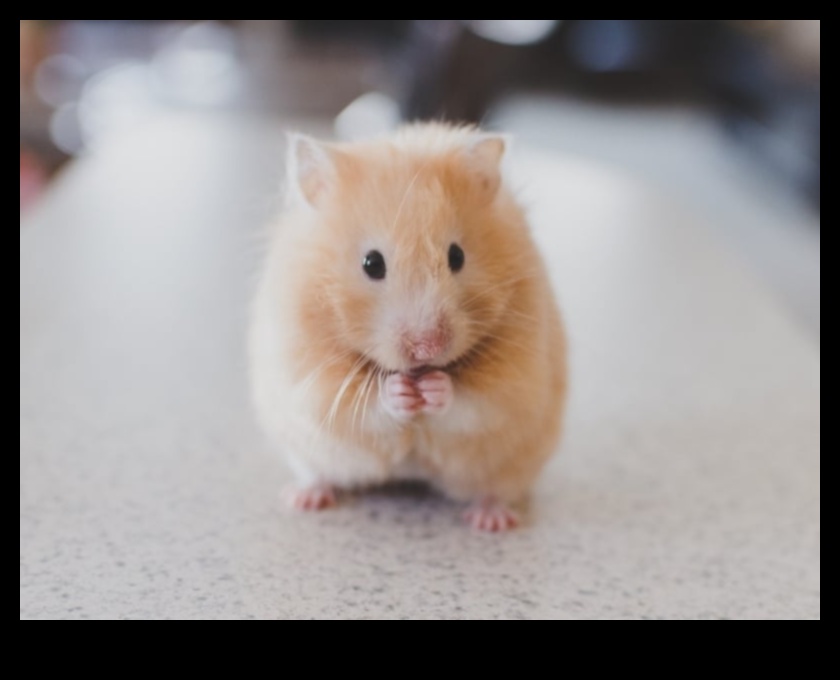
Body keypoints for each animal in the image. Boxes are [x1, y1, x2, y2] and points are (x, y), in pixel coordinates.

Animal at [249, 123, 567, 532]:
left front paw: (434, 388)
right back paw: (303, 498)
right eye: (372, 263)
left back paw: (491, 520)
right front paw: (400, 391)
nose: (427, 348)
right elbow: (364, 404)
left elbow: (473, 402)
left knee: (495, 490)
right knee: (317, 474)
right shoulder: (310, 378)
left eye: (457, 256)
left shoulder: (516, 380)